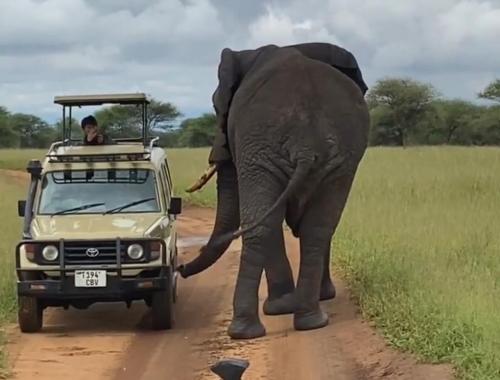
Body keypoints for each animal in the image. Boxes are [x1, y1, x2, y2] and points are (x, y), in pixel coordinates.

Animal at [178, 41, 370, 338]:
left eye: (215, 106)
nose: (180, 268)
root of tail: (305, 144)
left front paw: (282, 306)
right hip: (339, 157)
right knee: (317, 229)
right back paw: (311, 320)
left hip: (261, 148)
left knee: (263, 225)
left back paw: (253, 325)